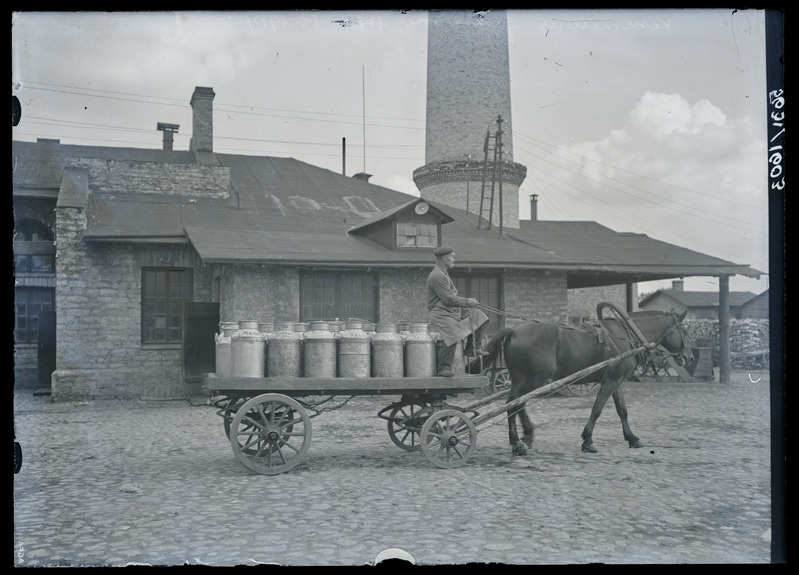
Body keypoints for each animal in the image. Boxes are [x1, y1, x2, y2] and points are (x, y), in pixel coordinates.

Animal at [476, 308, 692, 456]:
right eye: (686, 332)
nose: (689, 357)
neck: (625, 334)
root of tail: (514, 331)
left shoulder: (616, 381)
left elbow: (622, 411)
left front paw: (632, 438)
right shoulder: (611, 382)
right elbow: (597, 410)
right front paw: (588, 441)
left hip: (521, 379)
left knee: (515, 404)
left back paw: (525, 436)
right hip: (534, 380)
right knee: (514, 405)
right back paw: (518, 442)